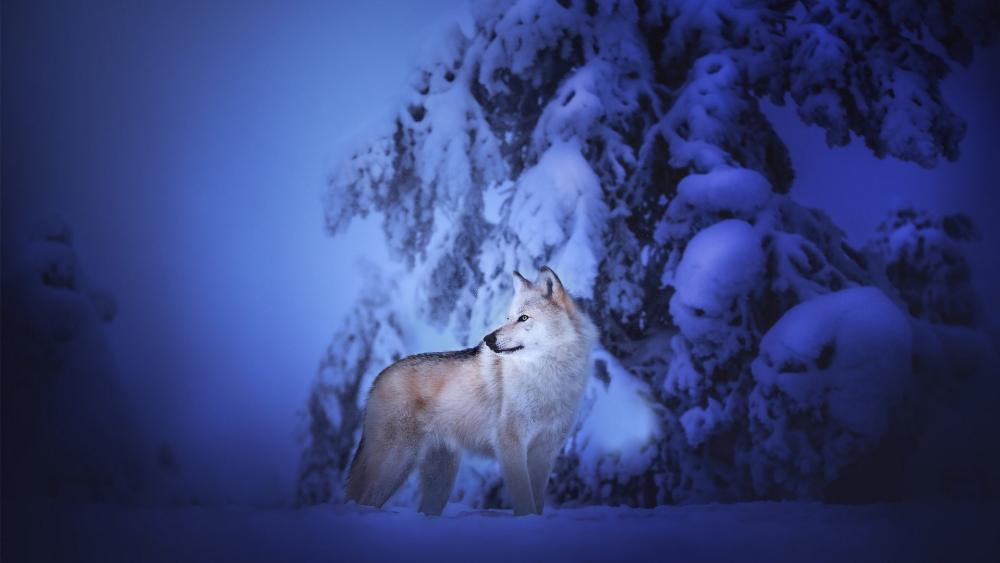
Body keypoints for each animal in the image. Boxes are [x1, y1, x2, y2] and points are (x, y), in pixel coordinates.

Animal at [345, 267, 597, 516]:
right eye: (508, 318)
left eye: (523, 317)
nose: (488, 339)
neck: (548, 375)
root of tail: (378, 378)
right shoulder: (511, 443)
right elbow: (525, 501)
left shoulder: (545, 452)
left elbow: (538, 504)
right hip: (397, 463)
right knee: (364, 502)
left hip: (439, 481)